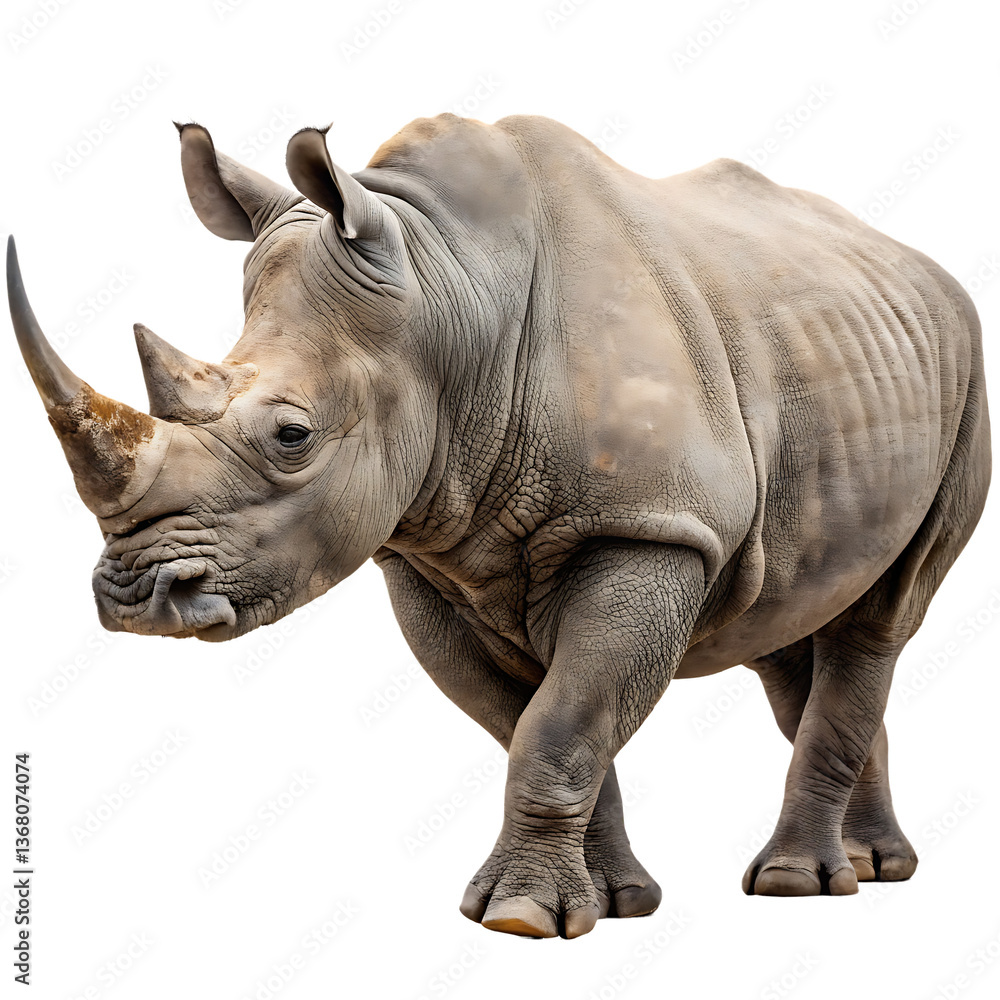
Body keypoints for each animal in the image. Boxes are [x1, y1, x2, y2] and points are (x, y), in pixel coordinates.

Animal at [8, 113, 990, 939]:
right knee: (786, 624)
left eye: (292, 436)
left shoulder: (651, 525)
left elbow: (562, 721)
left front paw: (521, 919)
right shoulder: (422, 554)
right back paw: (871, 867)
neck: (446, 297)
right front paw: (611, 903)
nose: (138, 598)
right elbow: (530, 722)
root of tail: (920, 264)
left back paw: (796, 884)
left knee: (883, 616)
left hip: (969, 366)